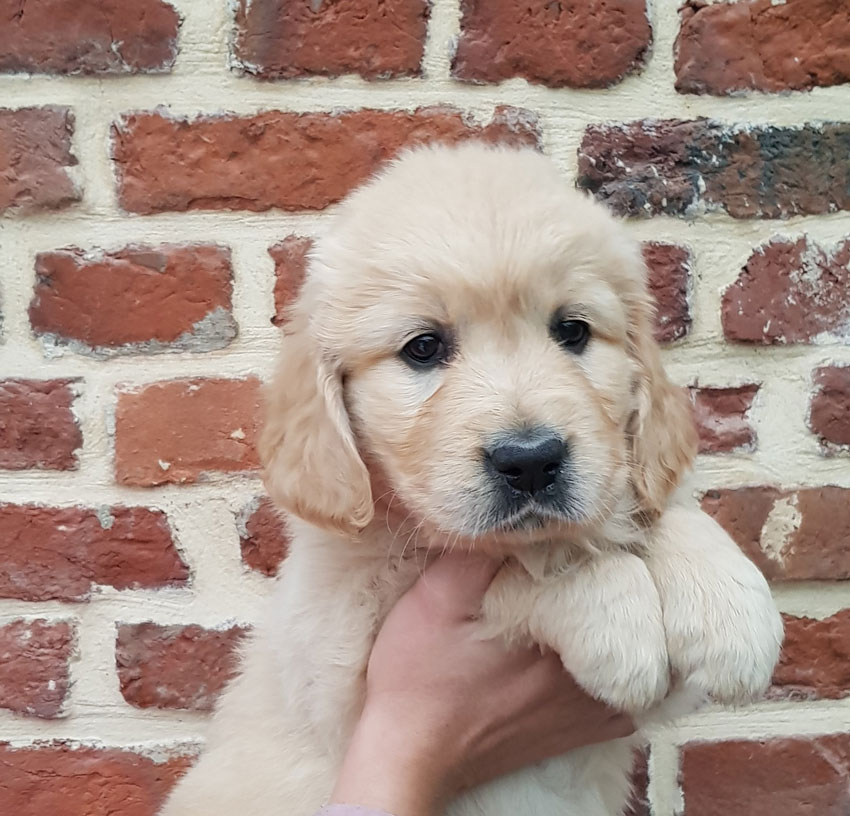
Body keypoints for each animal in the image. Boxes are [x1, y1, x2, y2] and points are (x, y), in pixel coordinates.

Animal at [159, 143, 780, 812]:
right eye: (423, 347)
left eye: (572, 331)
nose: (531, 460)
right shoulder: (343, 653)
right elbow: (526, 565)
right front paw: (614, 614)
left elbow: (660, 513)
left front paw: (732, 614)